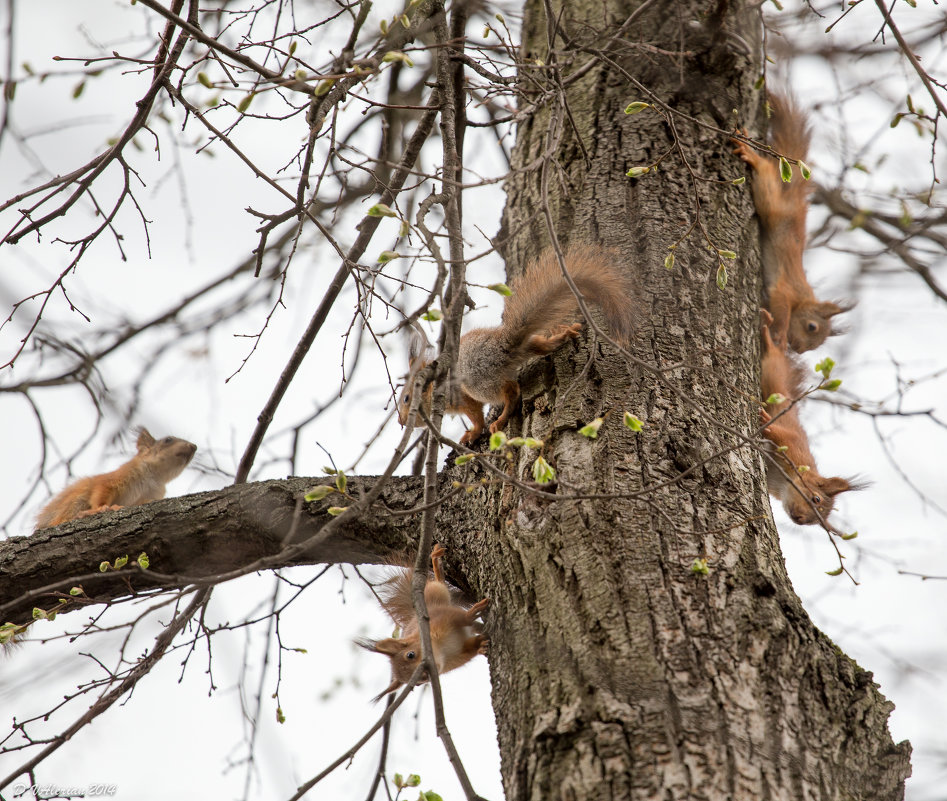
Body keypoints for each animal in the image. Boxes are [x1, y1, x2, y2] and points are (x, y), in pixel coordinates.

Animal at [36, 424, 198, 532]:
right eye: (168, 440)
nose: (194, 446)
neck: (155, 478)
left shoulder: (153, 494)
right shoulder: (115, 478)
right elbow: (101, 491)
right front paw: (102, 508)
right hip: (75, 501)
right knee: (60, 520)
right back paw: (82, 514)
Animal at [356, 544, 488, 700]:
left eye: (410, 655)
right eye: (418, 683)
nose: (426, 676)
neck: (443, 649)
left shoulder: (443, 617)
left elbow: (463, 617)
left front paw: (474, 611)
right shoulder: (458, 656)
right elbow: (470, 648)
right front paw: (481, 645)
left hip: (433, 594)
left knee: (439, 584)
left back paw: (436, 562)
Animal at [396, 244, 632, 444]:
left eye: (407, 398)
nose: (401, 422)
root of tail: (505, 345)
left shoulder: (461, 396)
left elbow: (476, 416)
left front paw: (473, 433)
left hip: (478, 381)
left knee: (511, 391)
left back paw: (500, 420)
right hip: (527, 349)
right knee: (541, 346)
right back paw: (564, 333)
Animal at [728, 95, 848, 352]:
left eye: (816, 346)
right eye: (812, 327)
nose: (799, 349)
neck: (804, 298)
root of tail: (795, 201)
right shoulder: (787, 290)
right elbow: (781, 309)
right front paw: (780, 336)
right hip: (772, 204)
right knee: (765, 173)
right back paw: (751, 154)